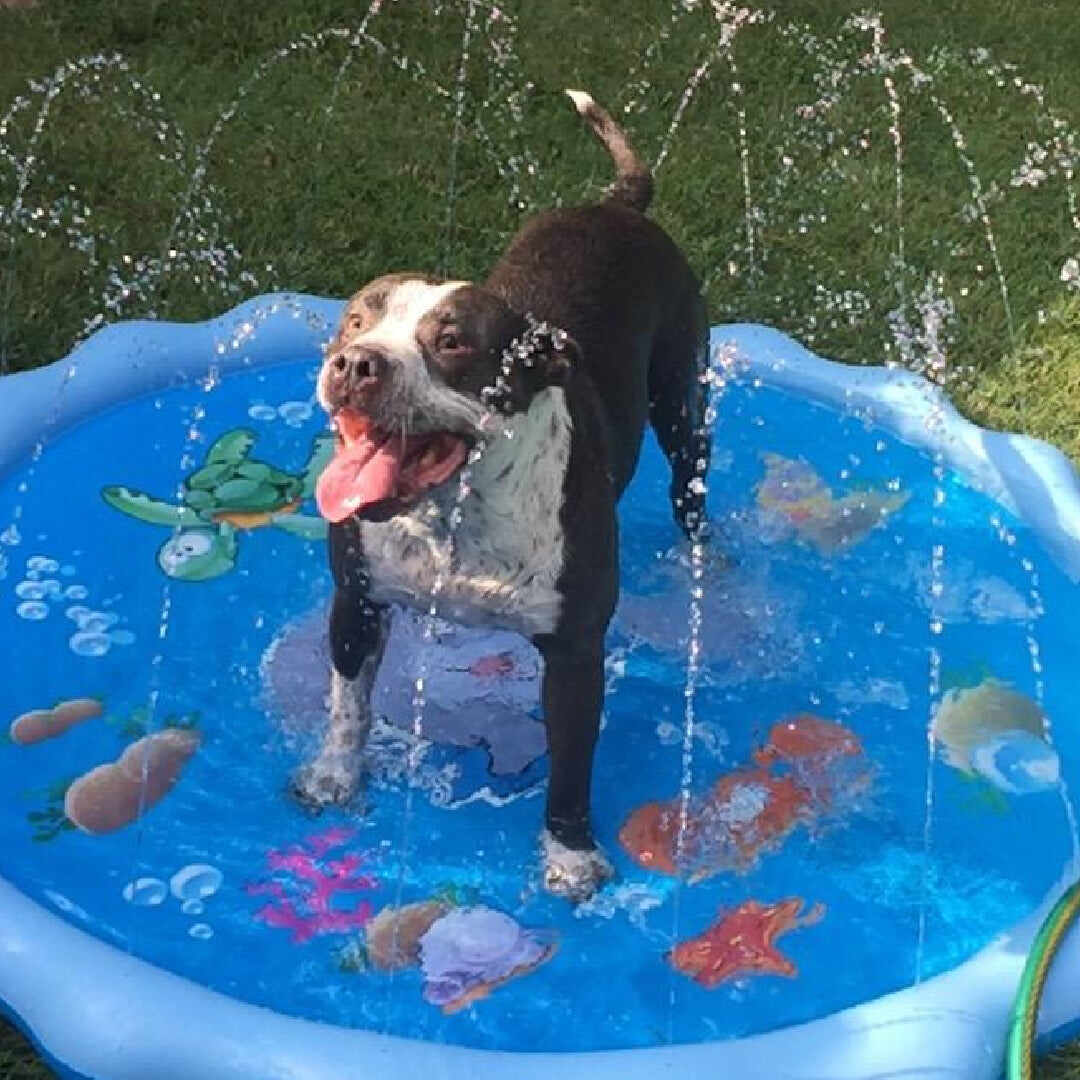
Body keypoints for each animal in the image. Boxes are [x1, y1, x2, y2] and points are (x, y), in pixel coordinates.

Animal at [295, 92, 712, 902]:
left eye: (452, 342)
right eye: (357, 318)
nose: (355, 362)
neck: (456, 513)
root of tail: (619, 204)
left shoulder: (575, 655)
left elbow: (571, 773)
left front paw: (571, 855)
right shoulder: (356, 602)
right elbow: (347, 703)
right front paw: (334, 776)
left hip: (685, 406)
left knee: (692, 490)